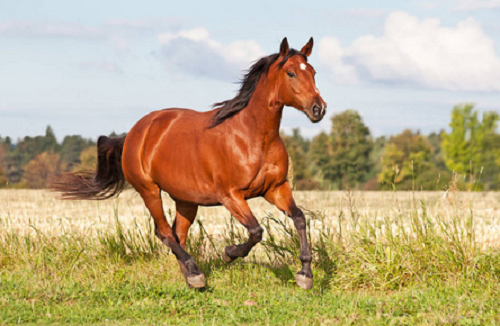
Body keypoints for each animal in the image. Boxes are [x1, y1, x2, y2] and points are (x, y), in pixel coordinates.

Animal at [48, 37, 326, 290]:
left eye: (313, 72)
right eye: (291, 73)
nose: (318, 109)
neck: (254, 136)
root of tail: (134, 133)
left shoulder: (275, 188)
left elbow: (300, 218)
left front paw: (305, 274)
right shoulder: (231, 195)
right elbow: (256, 231)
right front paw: (229, 253)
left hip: (186, 201)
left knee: (177, 234)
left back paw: (191, 277)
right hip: (149, 191)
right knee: (164, 232)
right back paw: (195, 273)